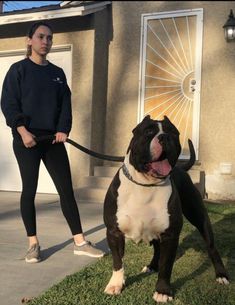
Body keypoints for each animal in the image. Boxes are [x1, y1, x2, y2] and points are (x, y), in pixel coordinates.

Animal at [103, 114, 229, 302]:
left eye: (174, 133)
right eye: (148, 131)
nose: (164, 137)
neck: (146, 184)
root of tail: (180, 167)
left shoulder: (170, 235)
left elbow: (166, 266)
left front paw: (163, 291)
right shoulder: (114, 232)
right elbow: (118, 261)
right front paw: (116, 284)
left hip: (200, 219)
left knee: (211, 247)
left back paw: (221, 274)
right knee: (156, 249)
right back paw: (151, 266)